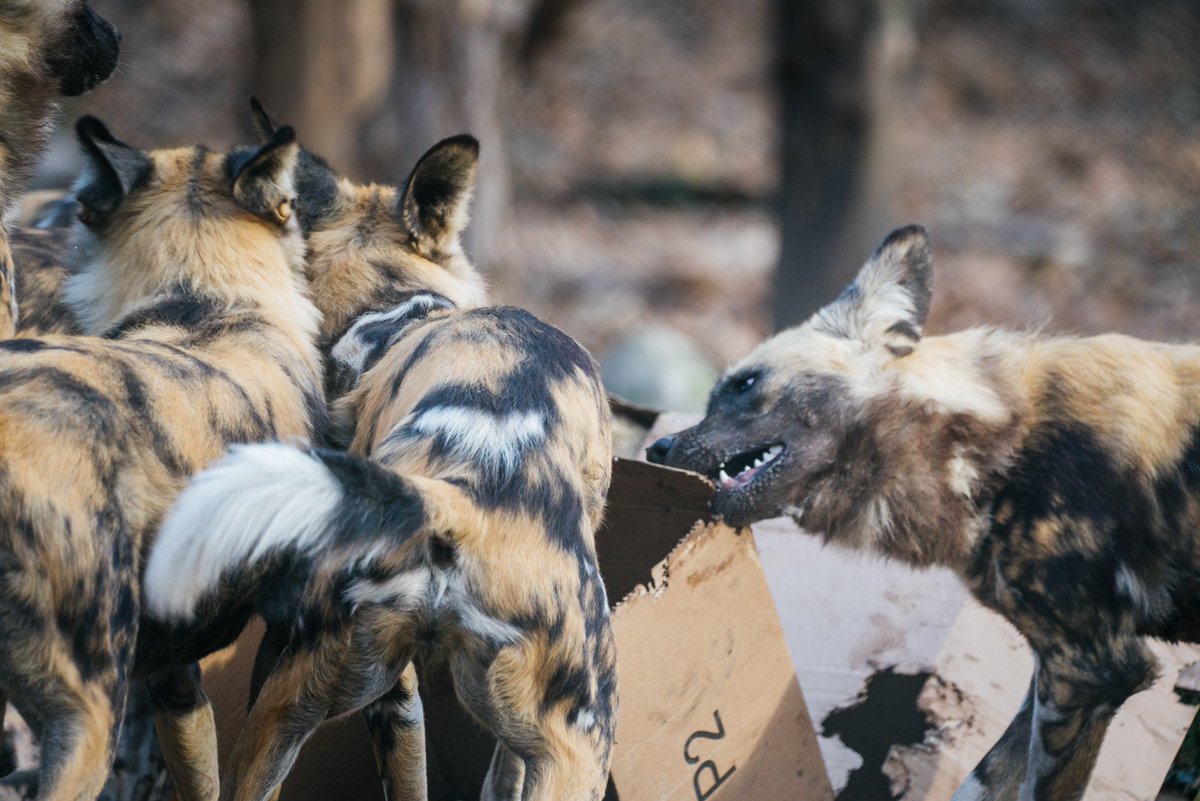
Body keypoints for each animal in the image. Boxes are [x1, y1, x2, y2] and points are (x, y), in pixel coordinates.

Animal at [647, 224, 1200, 801]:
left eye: (746, 384)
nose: (657, 447)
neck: (991, 445)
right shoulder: (1061, 670)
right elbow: (982, 781)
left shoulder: (1091, 671)